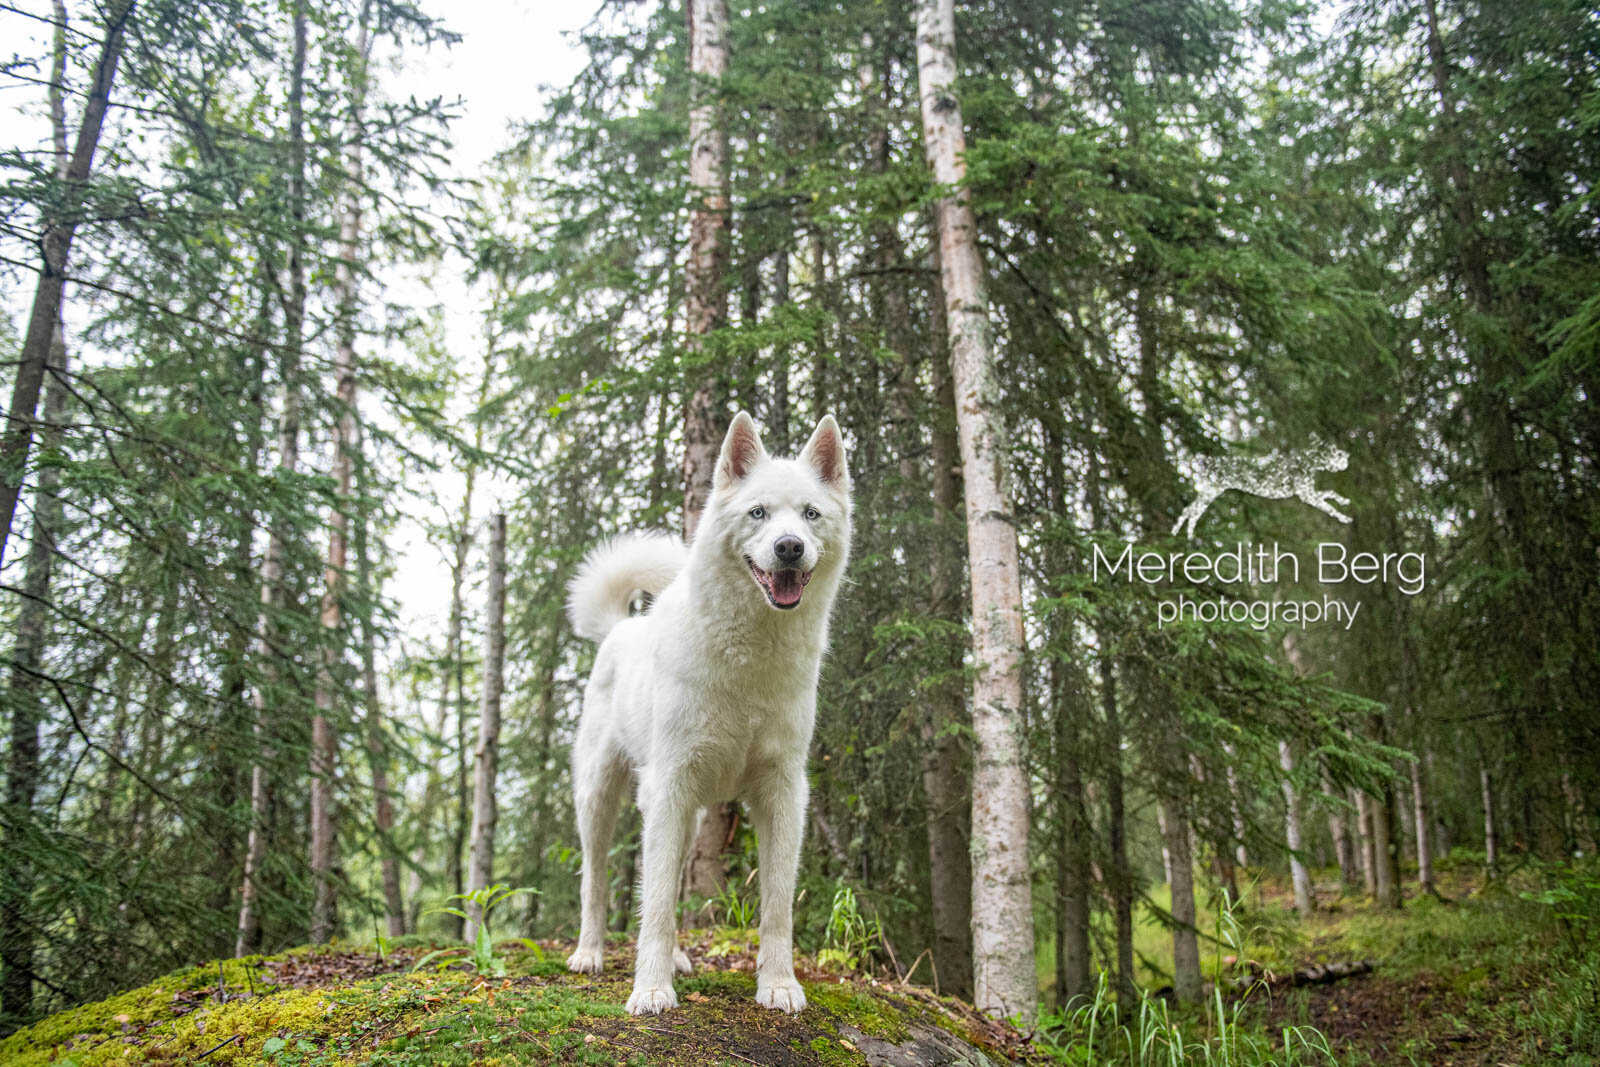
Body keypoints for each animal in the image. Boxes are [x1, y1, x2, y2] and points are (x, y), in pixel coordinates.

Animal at [569, 412, 857, 1017]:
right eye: (758, 513)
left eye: (811, 514)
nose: (790, 547)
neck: (752, 655)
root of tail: (620, 627)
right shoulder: (669, 784)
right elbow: (653, 904)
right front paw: (651, 990)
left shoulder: (782, 793)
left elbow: (777, 907)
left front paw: (778, 985)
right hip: (603, 797)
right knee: (597, 880)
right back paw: (589, 953)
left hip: (688, 816)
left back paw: (678, 957)